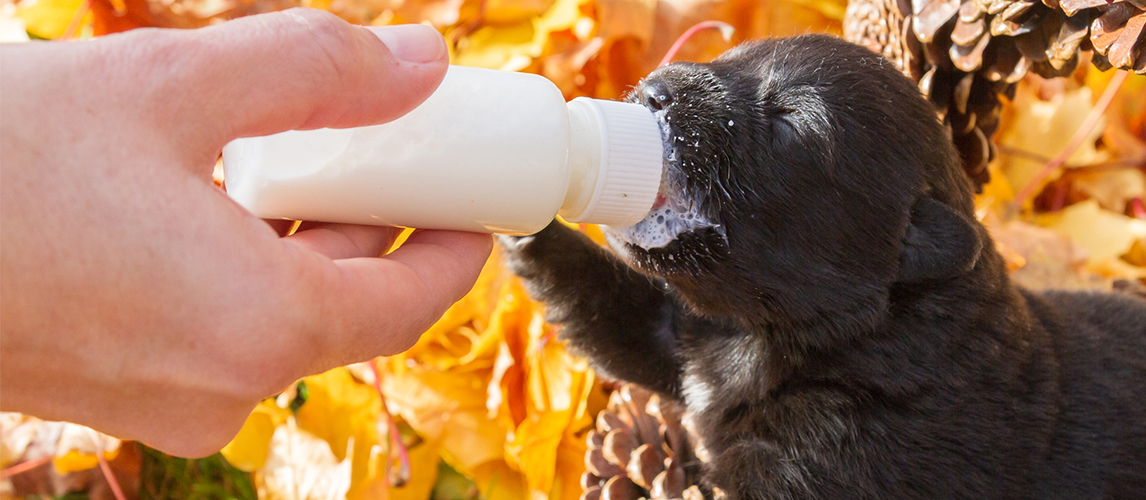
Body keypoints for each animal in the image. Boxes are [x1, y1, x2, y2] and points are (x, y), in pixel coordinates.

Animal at [501, 36, 1146, 499]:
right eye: (730, 57)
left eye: (788, 125)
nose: (655, 90)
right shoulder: (683, 339)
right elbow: (607, 302)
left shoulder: (822, 461)